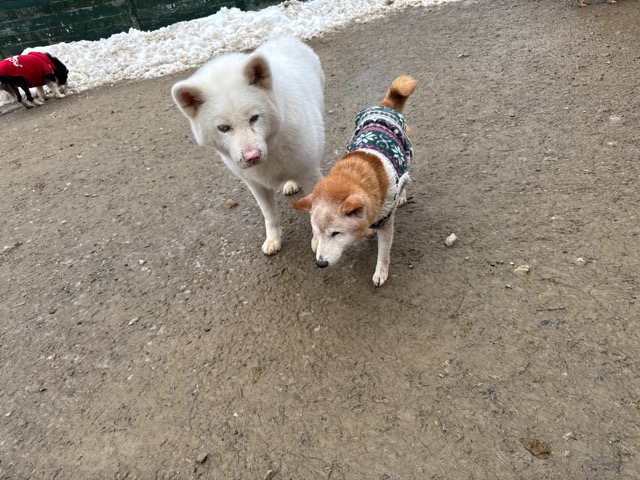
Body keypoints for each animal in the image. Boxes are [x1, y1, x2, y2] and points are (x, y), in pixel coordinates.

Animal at [172, 37, 325, 255]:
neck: (272, 145)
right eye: (224, 128)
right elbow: (269, 216)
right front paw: (273, 239)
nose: (252, 157)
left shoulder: (308, 174)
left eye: (254, 118)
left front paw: (319, 240)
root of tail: (284, 37)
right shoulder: (256, 185)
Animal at [292, 75, 417, 287]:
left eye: (335, 233)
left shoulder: (386, 222)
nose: (320, 263)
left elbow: (384, 253)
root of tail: (384, 106)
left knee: (405, 177)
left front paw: (381, 272)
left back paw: (402, 195)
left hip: (406, 155)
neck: (356, 172)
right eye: (317, 232)